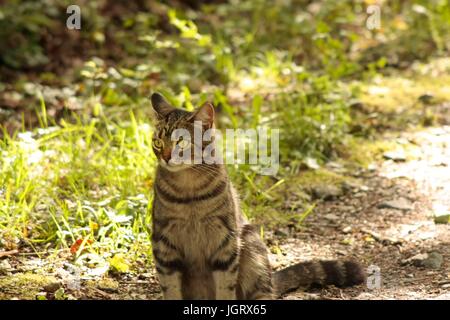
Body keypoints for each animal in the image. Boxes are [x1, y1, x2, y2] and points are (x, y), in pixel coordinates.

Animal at [149, 93, 364, 300]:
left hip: (252, 249)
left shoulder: (225, 242)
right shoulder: (164, 243)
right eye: (157, 142)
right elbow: (171, 288)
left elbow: (225, 288)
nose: (165, 157)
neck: (189, 191)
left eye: (182, 142)